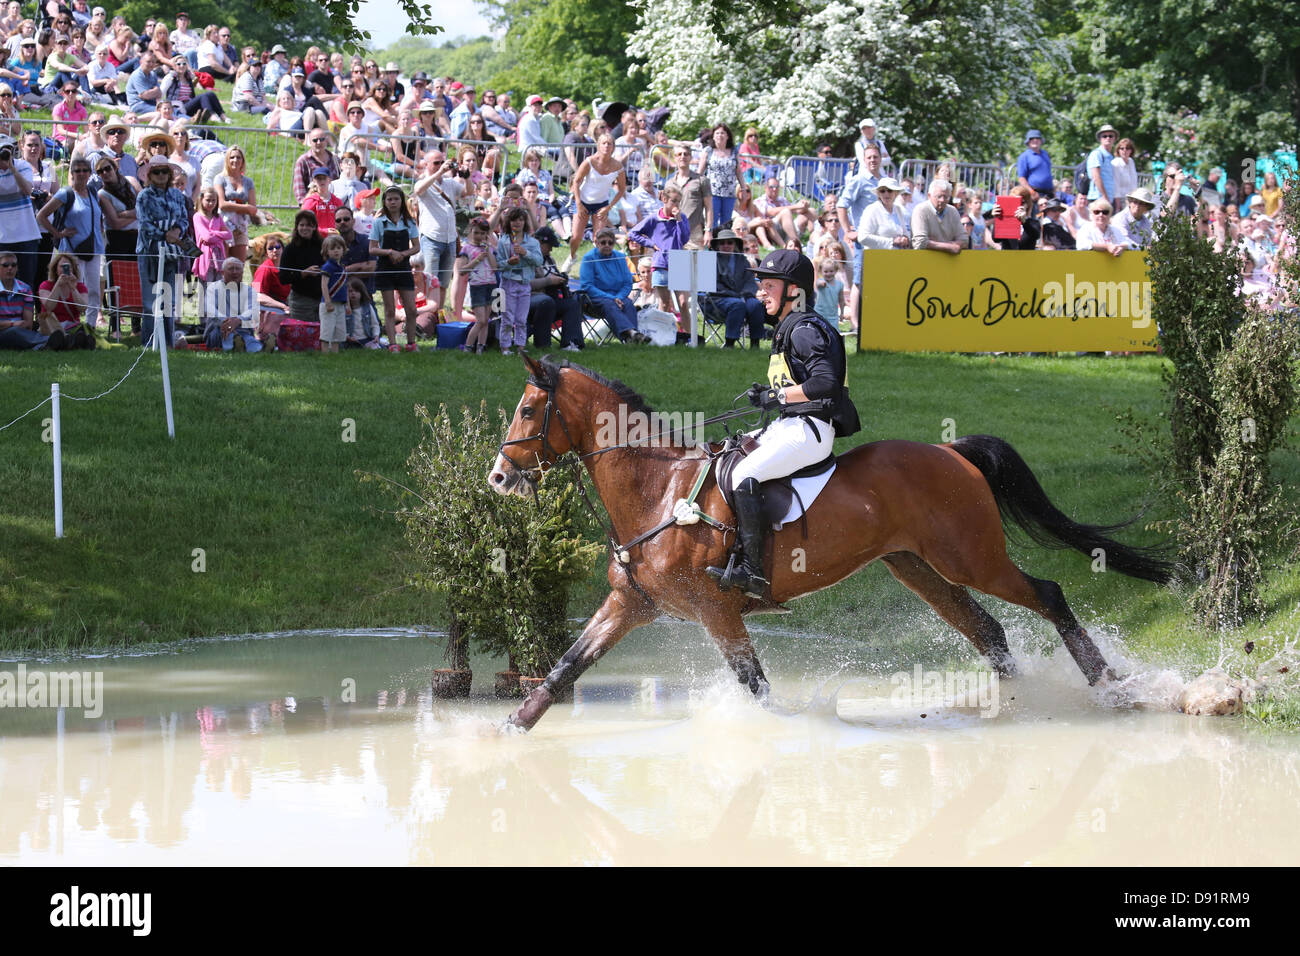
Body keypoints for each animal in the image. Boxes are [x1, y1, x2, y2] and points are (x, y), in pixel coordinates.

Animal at [488, 353, 1180, 733]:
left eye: (527, 411)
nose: (498, 479)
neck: (660, 492)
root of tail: (953, 453)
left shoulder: (717, 612)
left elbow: (756, 688)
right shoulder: (630, 604)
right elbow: (564, 667)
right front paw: (501, 734)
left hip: (971, 558)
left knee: (1047, 594)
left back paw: (1110, 686)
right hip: (915, 566)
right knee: (988, 629)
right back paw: (1019, 700)